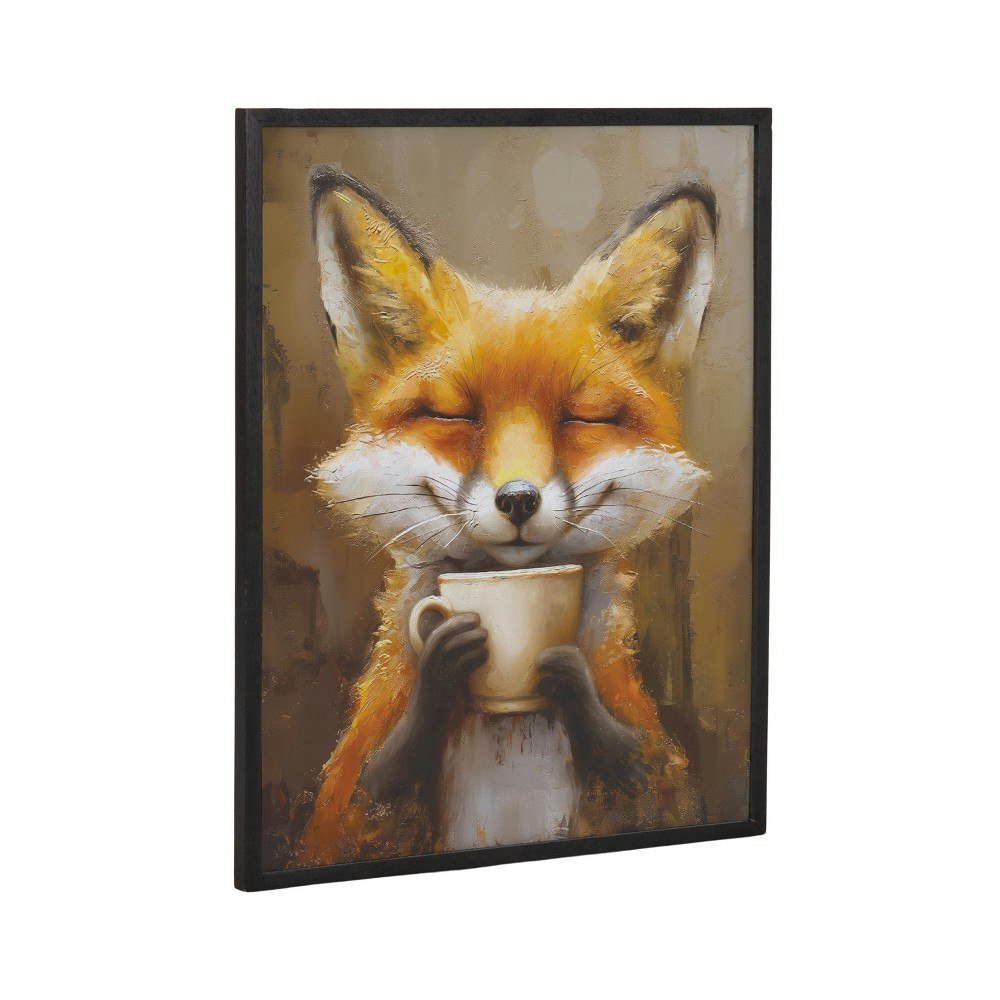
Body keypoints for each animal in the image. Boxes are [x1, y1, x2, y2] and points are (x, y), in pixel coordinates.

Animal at [296, 165, 716, 866]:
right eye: (454, 414)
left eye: (583, 417)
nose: (518, 499)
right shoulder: (345, 815)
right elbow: (370, 798)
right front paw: (441, 668)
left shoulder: (658, 785)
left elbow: (639, 774)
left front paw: (569, 677)